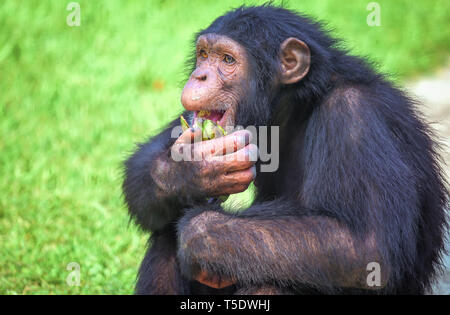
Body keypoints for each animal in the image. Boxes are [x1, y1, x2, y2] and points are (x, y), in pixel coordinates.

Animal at [121, 5, 448, 296]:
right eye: (203, 55)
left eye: (227, 59)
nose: (199, 76)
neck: (295, 104)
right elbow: (142, 169)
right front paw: (196, 168)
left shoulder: (355, 116)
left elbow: (366, 247)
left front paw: (200, 234)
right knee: (165, 231)